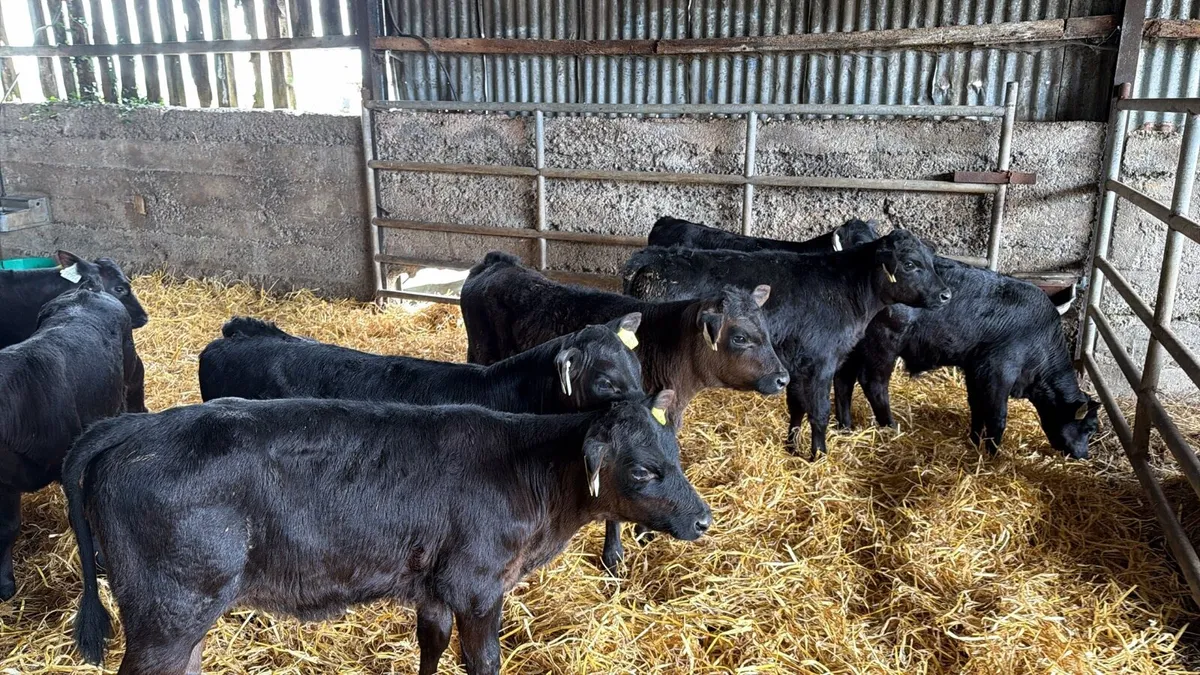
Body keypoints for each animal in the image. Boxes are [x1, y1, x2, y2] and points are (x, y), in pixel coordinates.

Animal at [64, 391, 709, 675]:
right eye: (644, 470)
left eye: (675, 455)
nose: (703, 518)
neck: (526, 468)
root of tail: (132, 428)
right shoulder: (479, 588)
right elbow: (483, 661)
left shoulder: (434, 588)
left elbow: (432, 646)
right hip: (167, 612)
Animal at [624, 230, 951, 461]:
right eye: (910, 263)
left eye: (931, 261)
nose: (946, 295)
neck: (845, 289)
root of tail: (653, 257)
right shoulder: (821, 363)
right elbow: (819, 411)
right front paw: (819, 456)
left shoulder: (795, 364)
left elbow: (797, 407)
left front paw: (792, 448)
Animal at [832, 257, 1099, 458]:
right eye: (1089, 428)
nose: (1083, 455)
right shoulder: (999, 372)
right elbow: (997, 416)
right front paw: (993, 455)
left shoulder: (975, 371)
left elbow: (977, 407)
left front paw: (974, 440)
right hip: (883, 344)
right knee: (873, 384)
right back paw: (891, 426)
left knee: (843, 381)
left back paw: (845, 426)